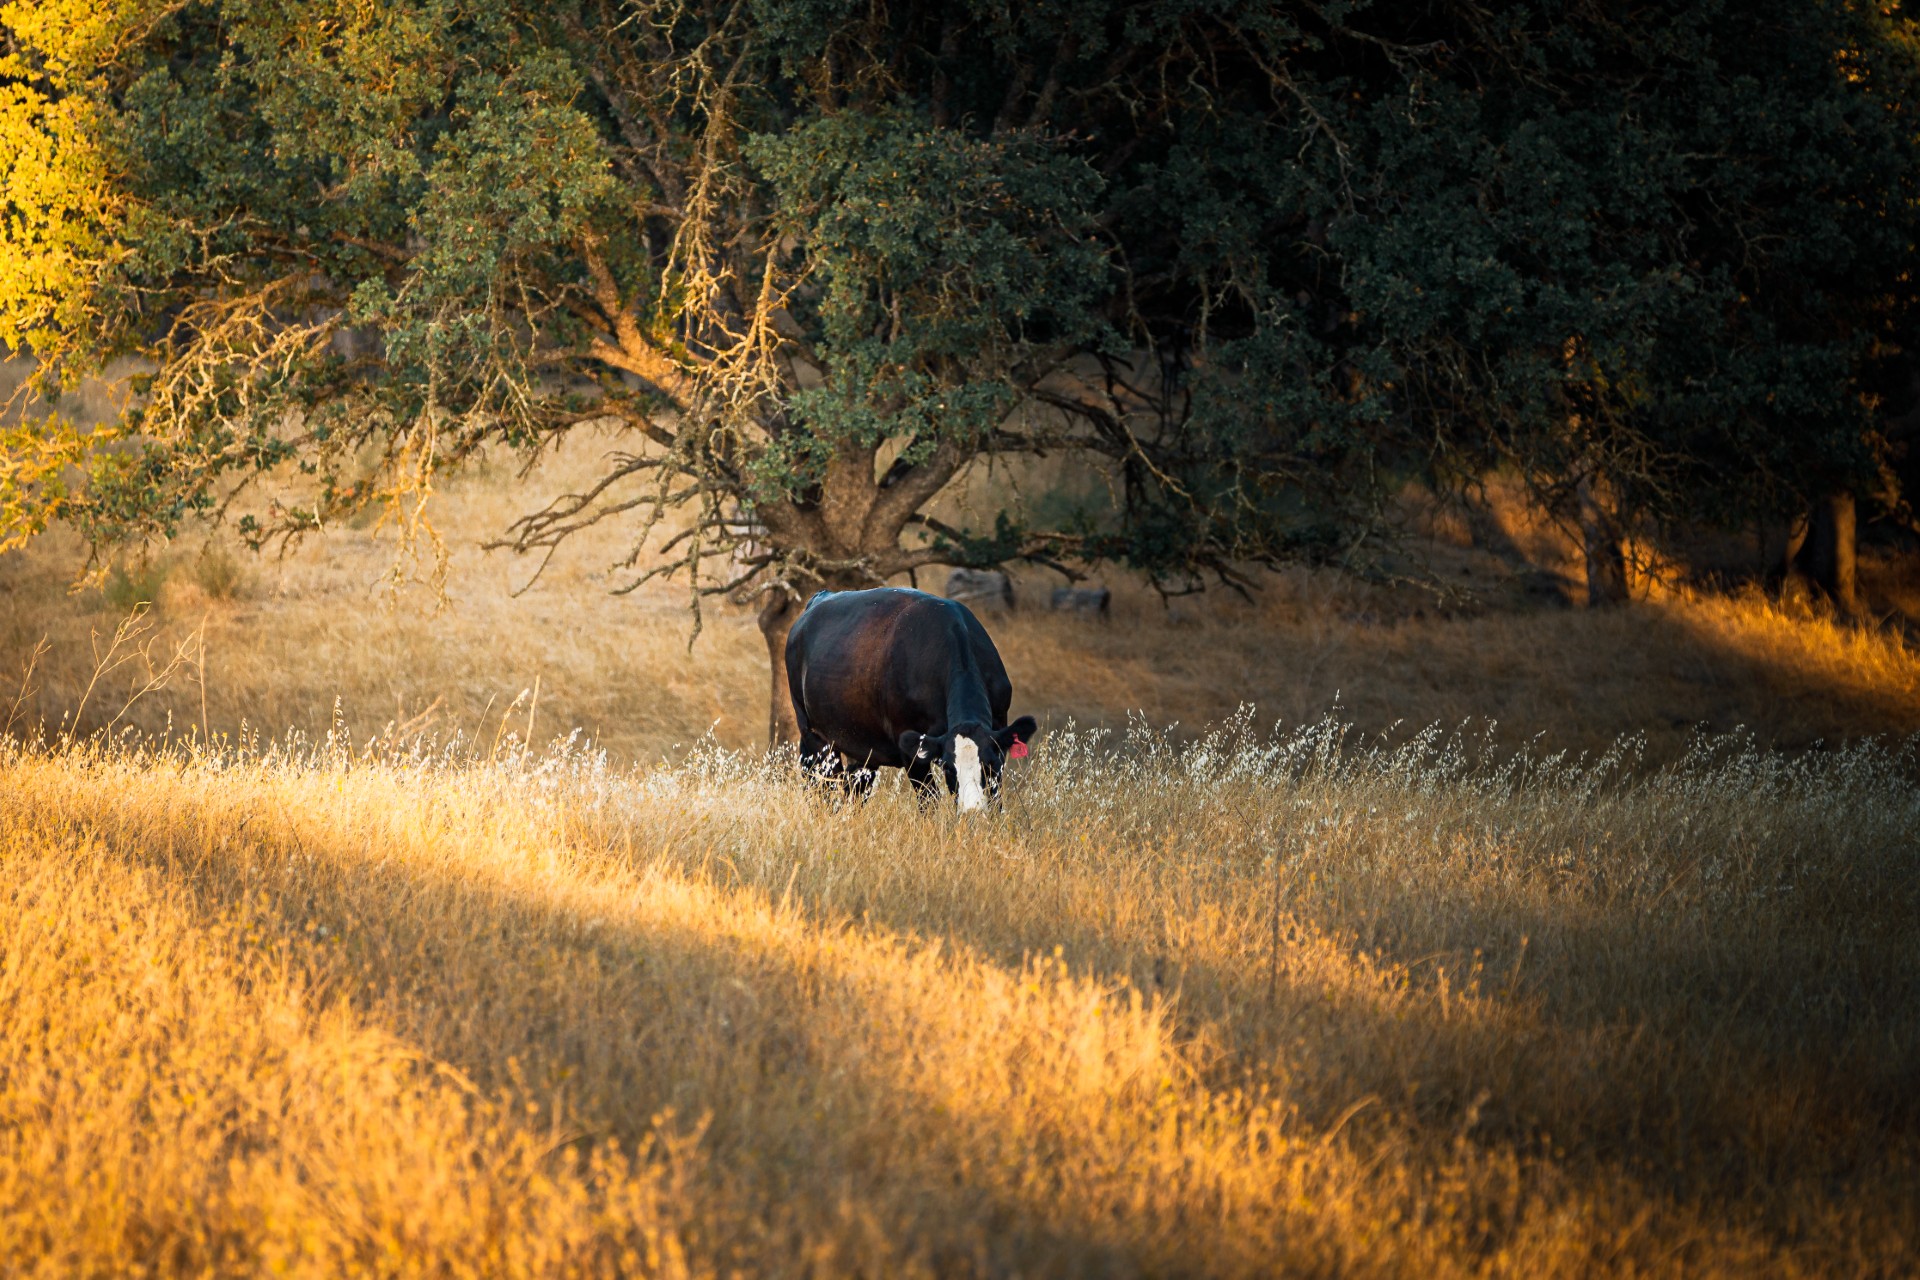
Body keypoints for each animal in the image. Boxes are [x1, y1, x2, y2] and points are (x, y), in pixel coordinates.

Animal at [784, 587, 1037, 811]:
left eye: (989, 765)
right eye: (949, 769)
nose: (972, 811)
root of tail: (820, 598)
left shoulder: (999, 732)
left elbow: (996, 799)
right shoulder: (910, 749)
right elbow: (929, 801)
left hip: (861, 743)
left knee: (855, 788)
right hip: (814, 735)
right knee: (821, 786)